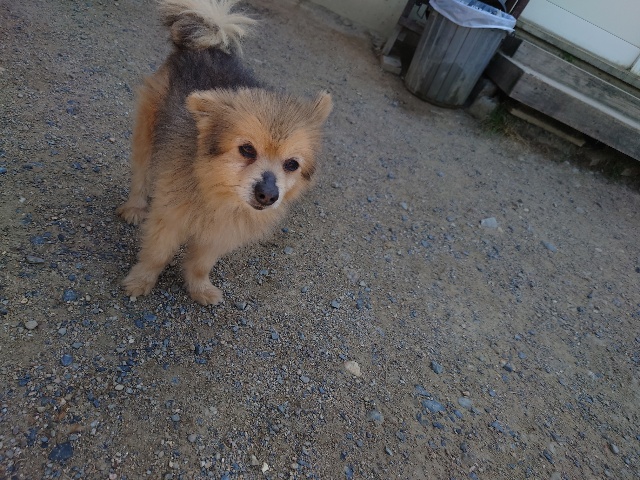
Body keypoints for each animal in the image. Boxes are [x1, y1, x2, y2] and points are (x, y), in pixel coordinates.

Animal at [117, 0, 332, 305]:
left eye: (292, 164)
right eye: (247, 149)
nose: (268, 195)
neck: (217, 191)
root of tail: (207, 44)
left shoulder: (219, 234)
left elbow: (200, 264)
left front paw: (199, 288)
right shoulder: (169, 218)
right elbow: (156, 255)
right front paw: (141, 281)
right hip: (147, 131)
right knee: (141, 173)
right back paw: (134, 207)